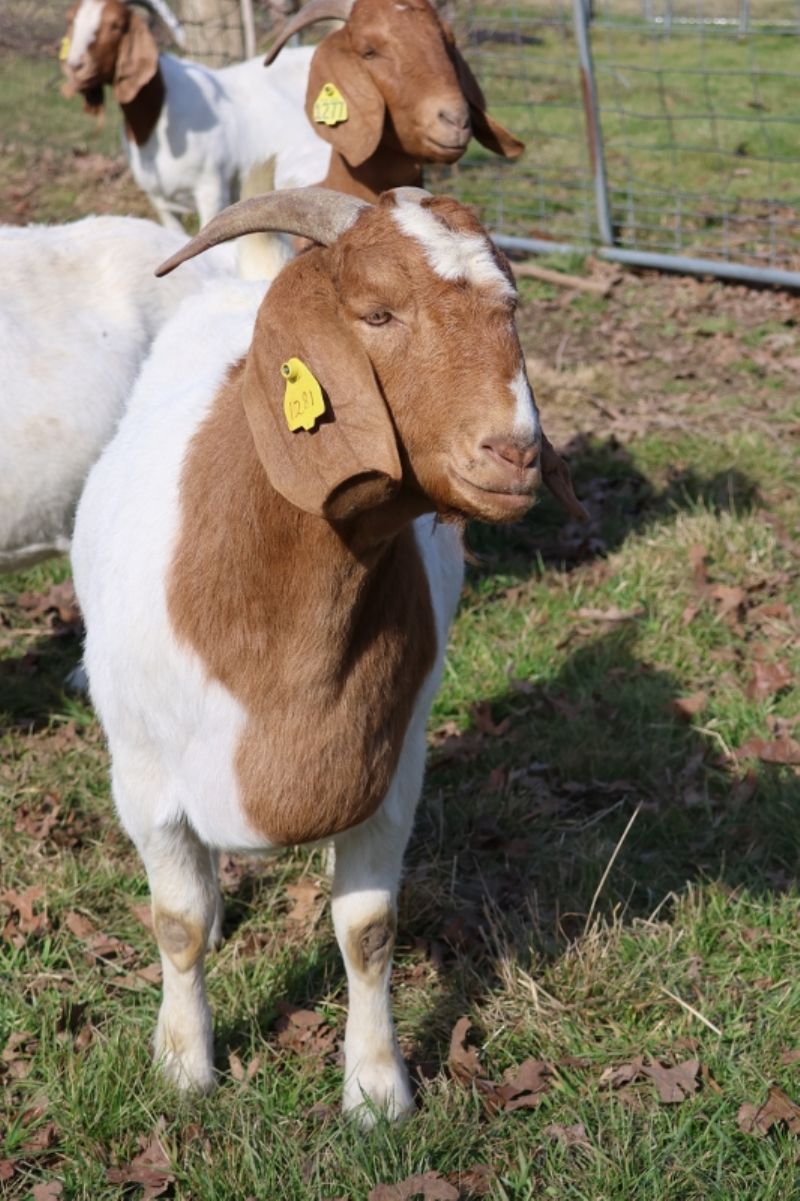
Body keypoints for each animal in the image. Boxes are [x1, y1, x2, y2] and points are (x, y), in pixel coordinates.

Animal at [61, 0, 331, 271]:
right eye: (71, 19)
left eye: (116, 25)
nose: (75, 68)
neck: (157, 118)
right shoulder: (160, 201)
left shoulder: (211, 190)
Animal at [71, 187, 585, 1123]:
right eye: (377, 313)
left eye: (514, 308)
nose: (515, 452)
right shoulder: (144, 779)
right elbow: (178, 922)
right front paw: (183, 1062)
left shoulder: (390, 770)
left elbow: (368, 931)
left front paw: (377, 1089)